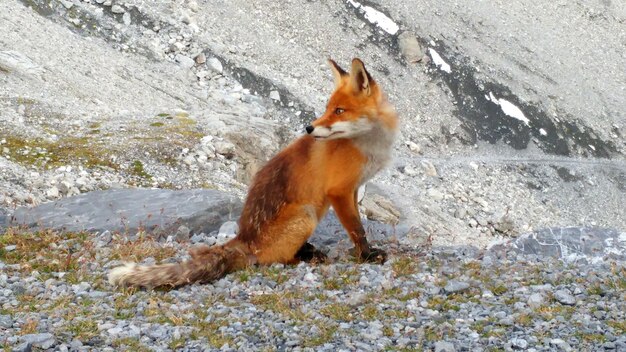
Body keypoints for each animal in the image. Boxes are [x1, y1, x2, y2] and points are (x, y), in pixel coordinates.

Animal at [108, 57, 398, 288]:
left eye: (339, 111)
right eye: (328, 108)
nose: (309, 128)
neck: (367, 144)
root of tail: (243, 238)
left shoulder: (354, 189)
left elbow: (358, 224)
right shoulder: (339, 191)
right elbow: (357, 230)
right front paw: (367, 256)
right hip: (306, 215)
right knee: (275, 259)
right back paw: (306, 256)